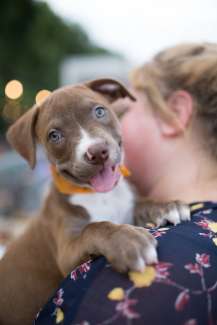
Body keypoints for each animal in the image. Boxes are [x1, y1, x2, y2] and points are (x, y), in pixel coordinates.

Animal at [0, 79, 190, 324]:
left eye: (99, 111)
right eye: (54, 135)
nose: (98, 152)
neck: (101, 195)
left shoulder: (127, 207)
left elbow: (139, 205)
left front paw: (166, 206)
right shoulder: (67, 250)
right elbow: (95, 227)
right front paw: (128, 240)